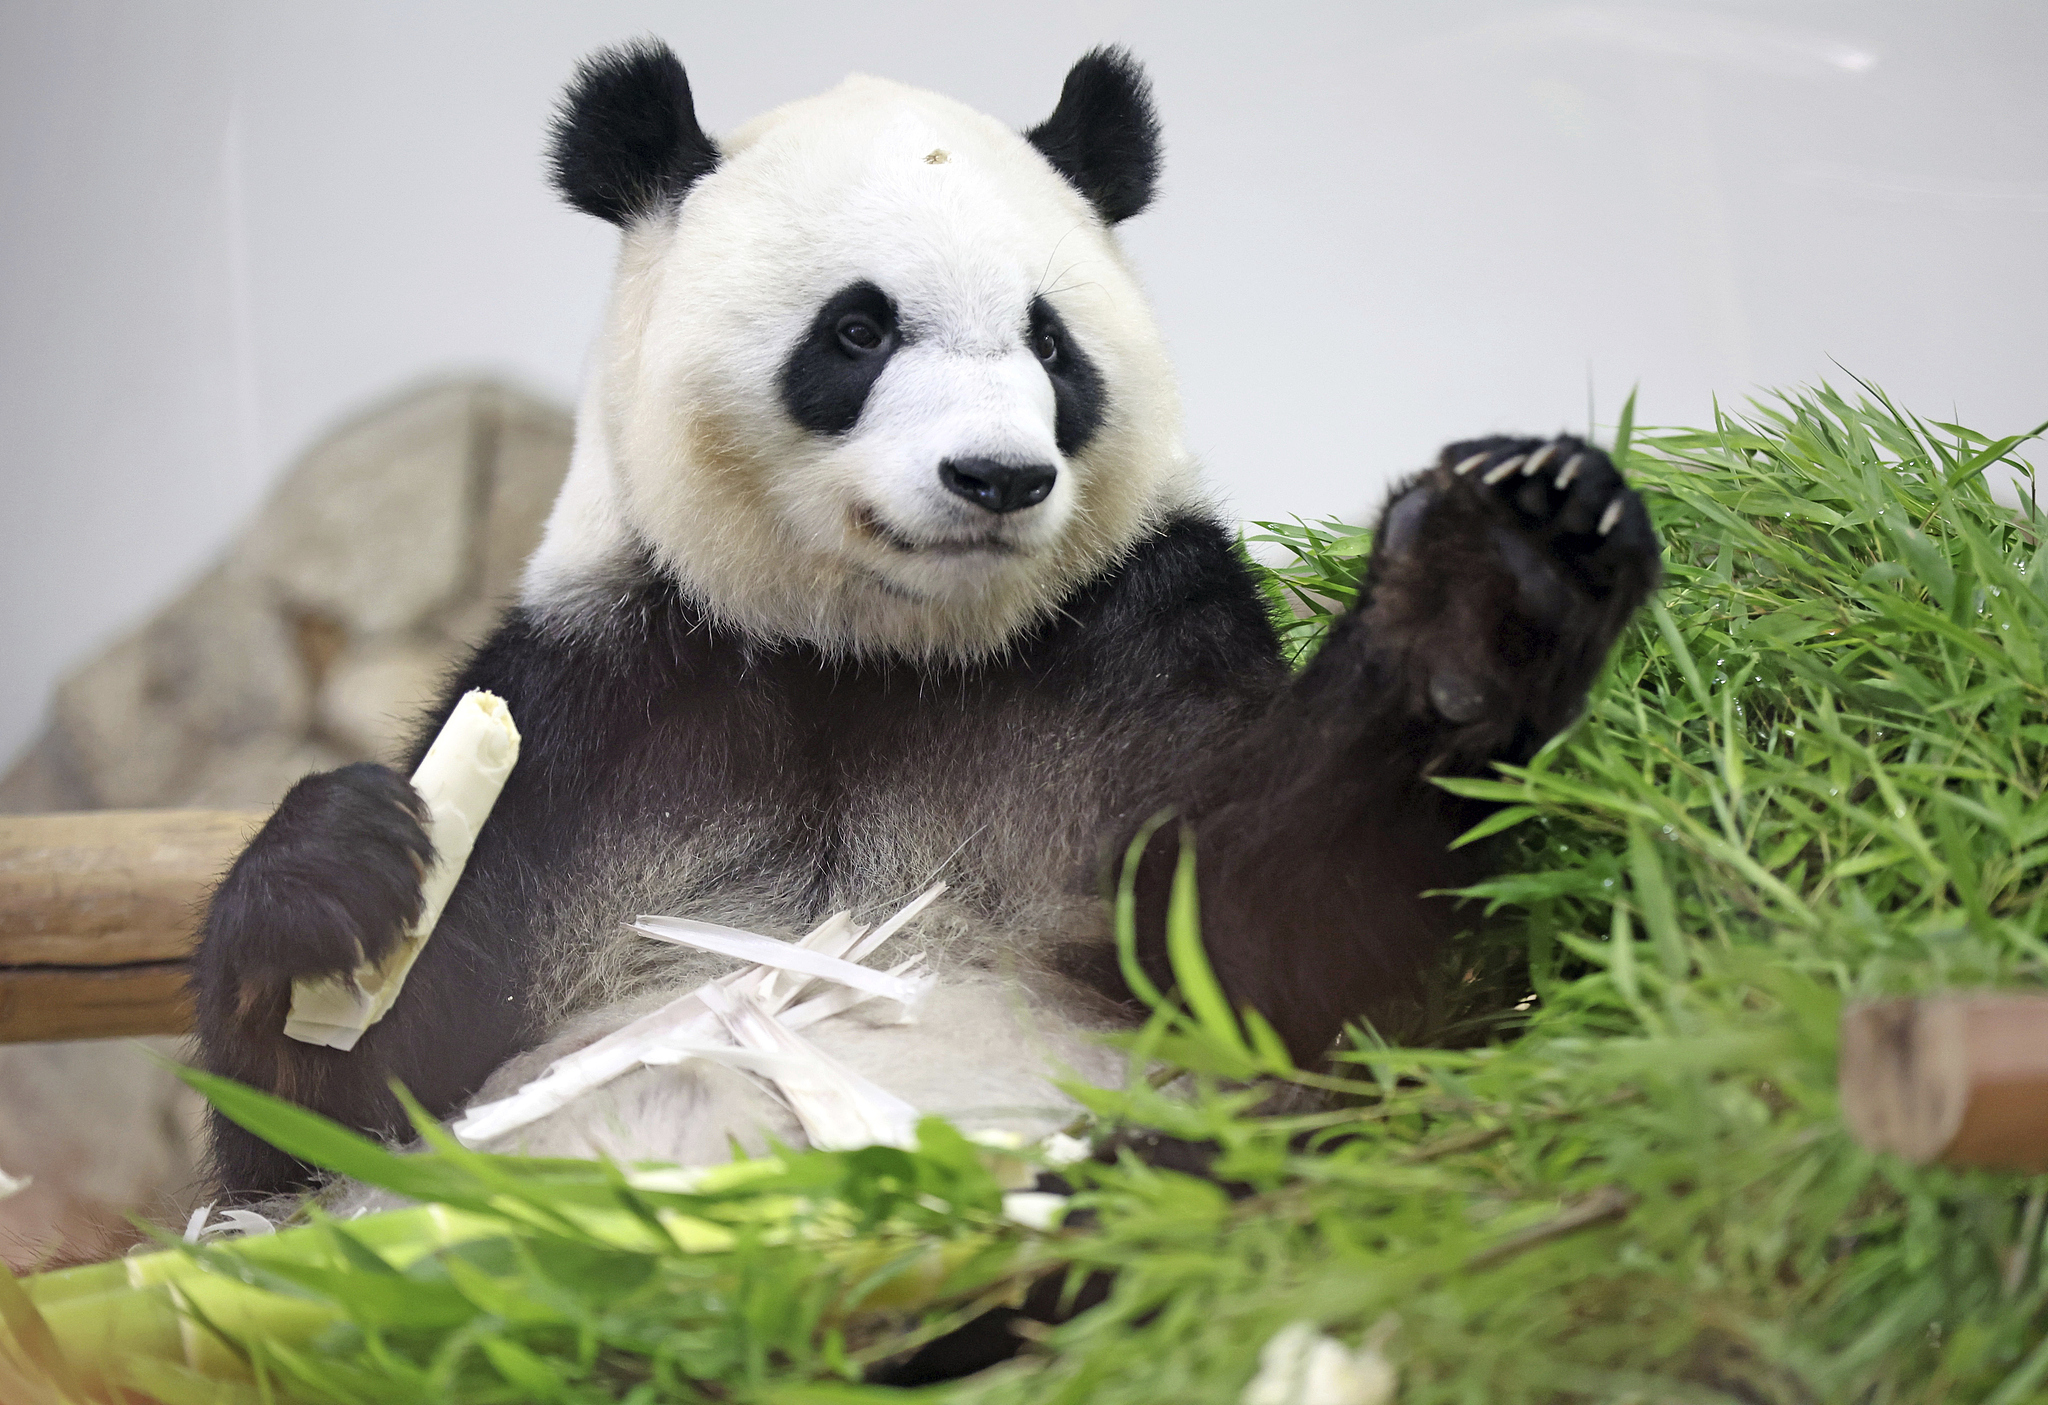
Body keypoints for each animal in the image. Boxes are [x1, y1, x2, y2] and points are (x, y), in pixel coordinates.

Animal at [193, 41, 1660, 1202]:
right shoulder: (598, 702)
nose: (998, 477)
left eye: (1053, 345)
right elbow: (341, 1107)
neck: (875, 651)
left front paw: (1495, 582)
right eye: (857, 331)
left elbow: (1250, 941)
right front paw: (329, 869)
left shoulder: (1133, 632)